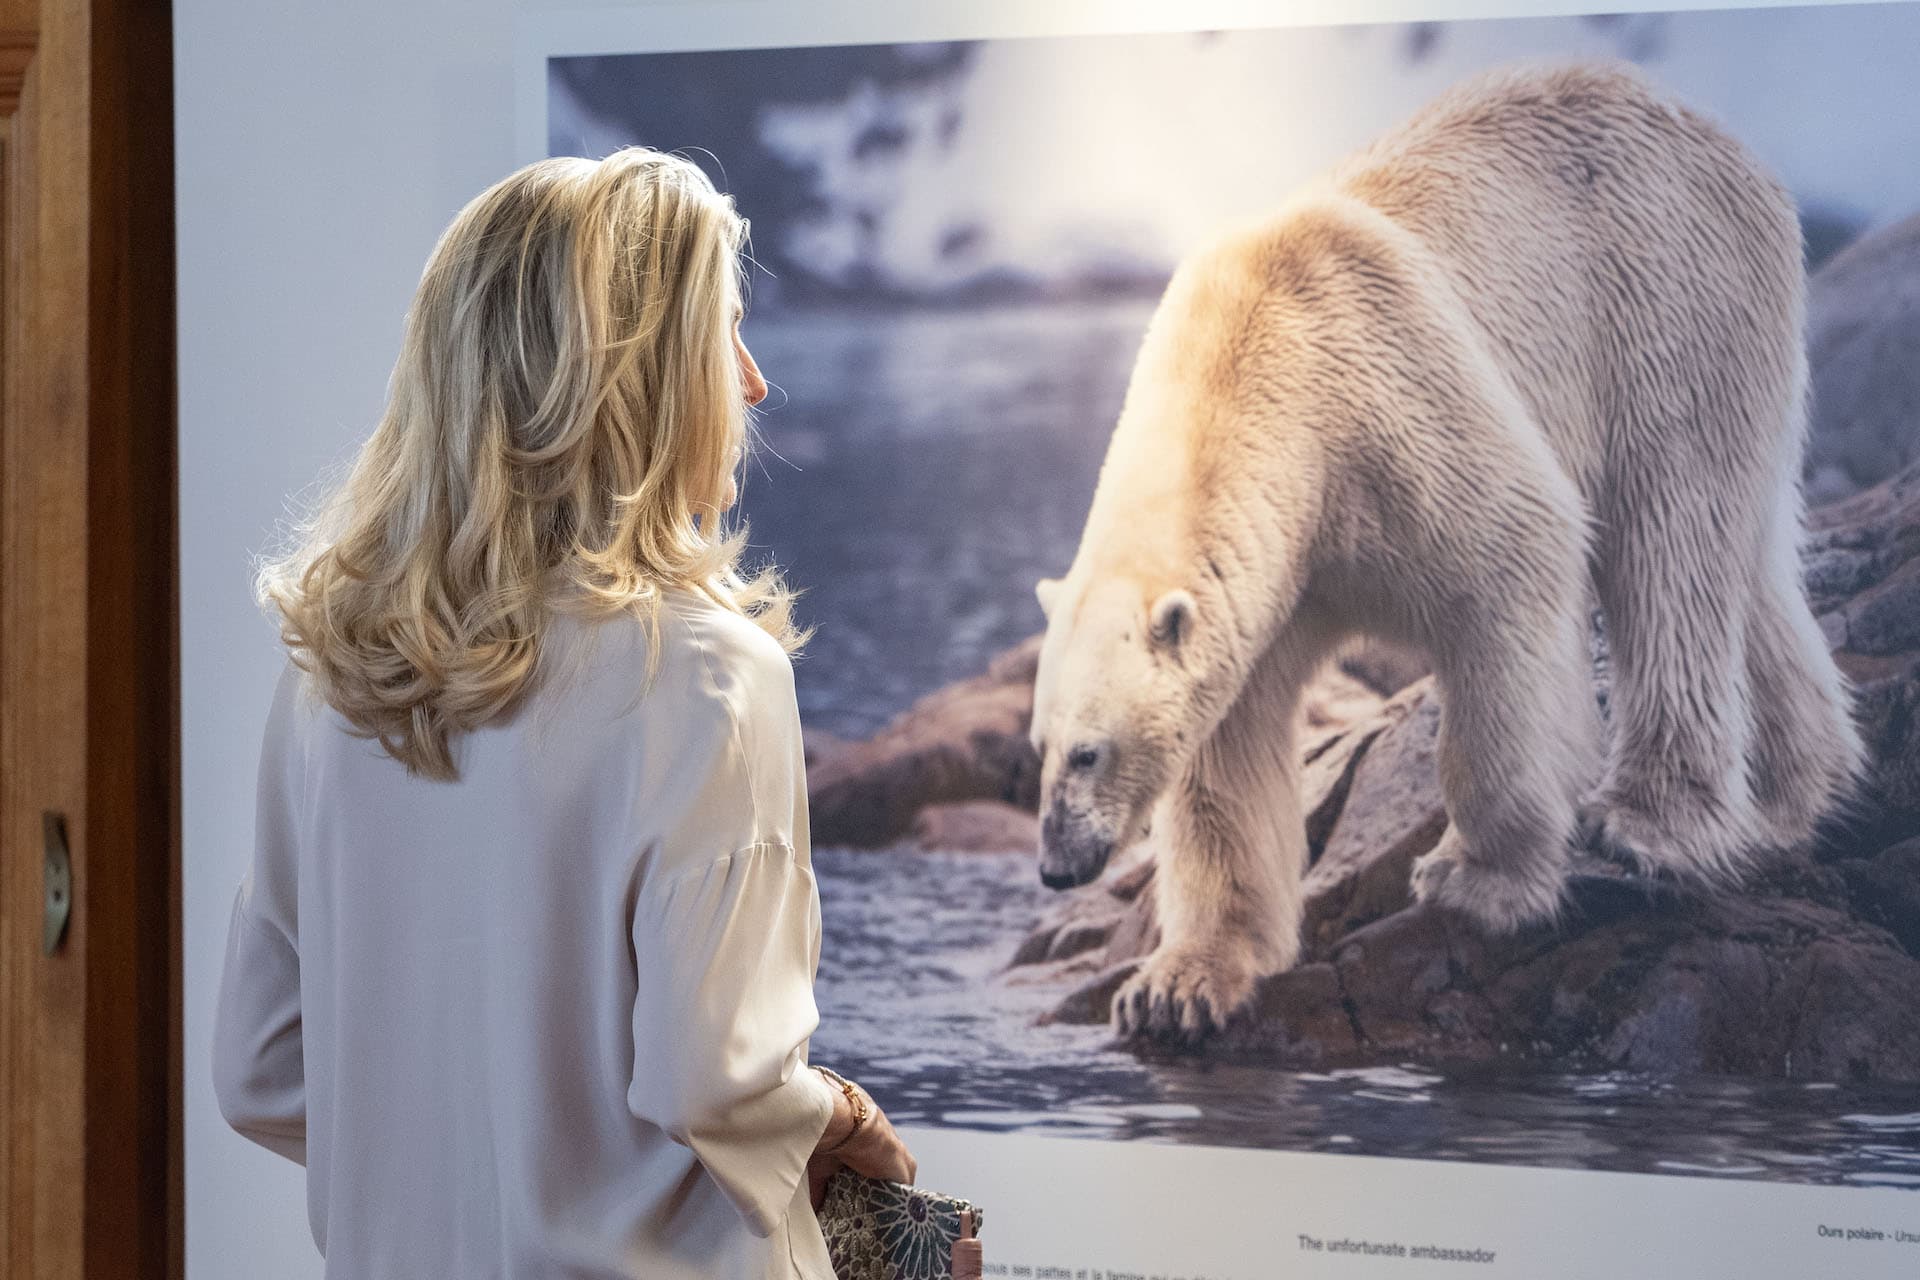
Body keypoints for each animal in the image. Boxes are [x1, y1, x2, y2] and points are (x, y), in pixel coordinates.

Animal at [1036, 57, 1858, 1043]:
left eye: (1089, 752)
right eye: (1038, 745)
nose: (1057, 865)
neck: (1254, 368)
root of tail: (1727, 143)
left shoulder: (1387, 409)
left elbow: (1516, 558)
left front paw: (1475, 878)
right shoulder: (1273, 575)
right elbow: (1228, 744)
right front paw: (1177, 986)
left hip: (1663, 300)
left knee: (1671, 538)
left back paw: (1652, 821)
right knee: (1750, 561)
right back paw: (1799, 790)